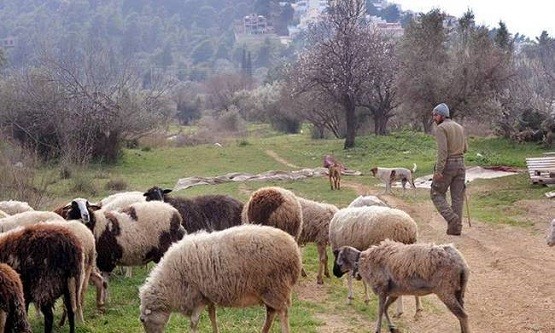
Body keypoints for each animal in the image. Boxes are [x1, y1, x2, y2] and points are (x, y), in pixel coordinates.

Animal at [139, 223, 304, 332]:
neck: (170, 282)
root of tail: (294, 249)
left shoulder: (197, 296)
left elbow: (194, 322)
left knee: (283, 313)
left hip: (276, 287)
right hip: (269, 291)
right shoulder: (207, 296)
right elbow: (212, 316)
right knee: (271, 313)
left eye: (142, 320)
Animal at [336, 240, 472, 332]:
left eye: (339, 261)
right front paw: (392, 327)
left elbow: (380, 311)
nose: (336, 274)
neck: (362, 261)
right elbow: (385, 308)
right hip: (459, 292)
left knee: (463, 316)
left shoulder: (382, 289)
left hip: (445, 291)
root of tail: (462, 263)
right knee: (462, 315)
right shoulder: (394, 293)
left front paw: (377, 329)